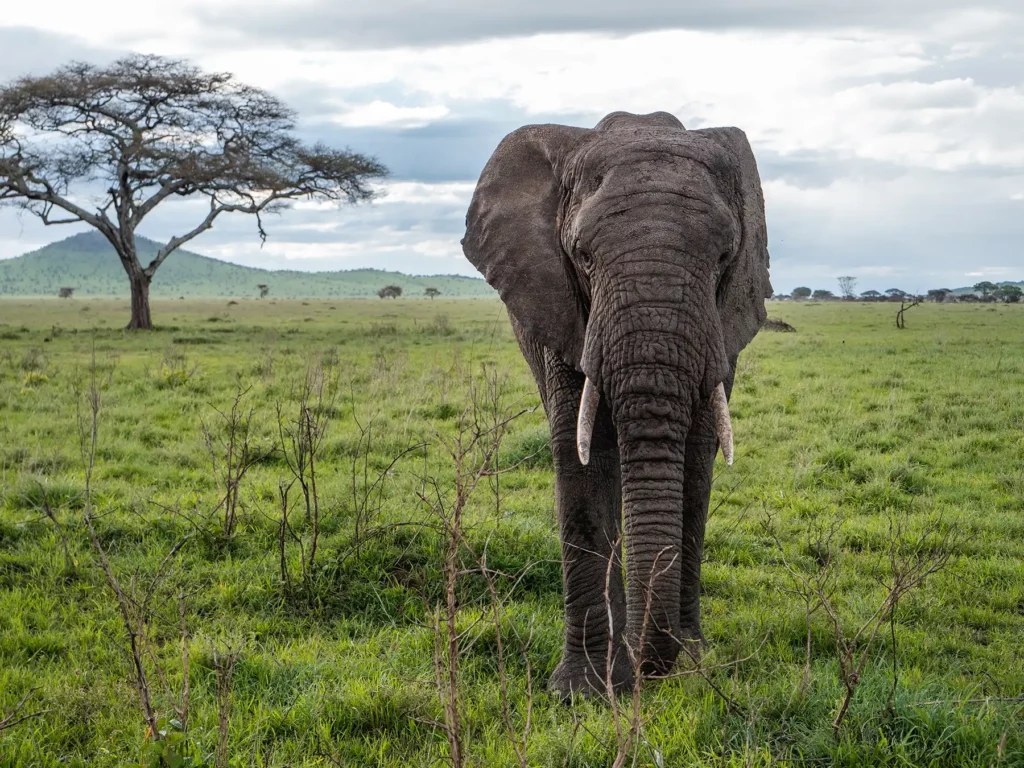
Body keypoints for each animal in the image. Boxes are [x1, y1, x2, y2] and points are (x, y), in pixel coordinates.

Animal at [462, 110, 772, 699]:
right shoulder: (562, 307)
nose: (648, 667)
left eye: (725, 257)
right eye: (582, 257)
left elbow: (695, 459)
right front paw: (583, 691)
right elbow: (579, 457)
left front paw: (688, 660)